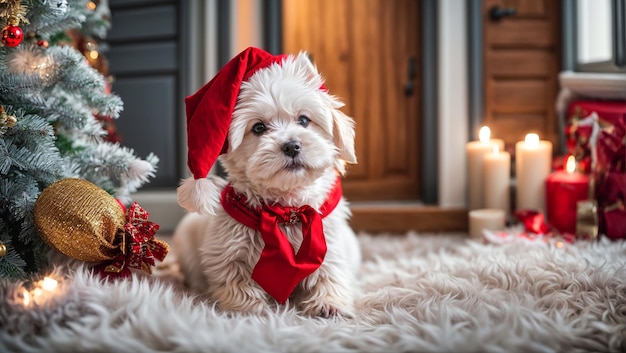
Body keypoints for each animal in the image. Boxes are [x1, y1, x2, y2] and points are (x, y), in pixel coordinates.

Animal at [173, 47, 358, 316]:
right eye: (259, 128)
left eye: (304, 120)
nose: (292, 145)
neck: (286, 211)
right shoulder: (229, 253)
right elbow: (237, 283)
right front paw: (255, 311)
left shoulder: (329, 247)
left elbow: (330, 275)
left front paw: (329, 304)